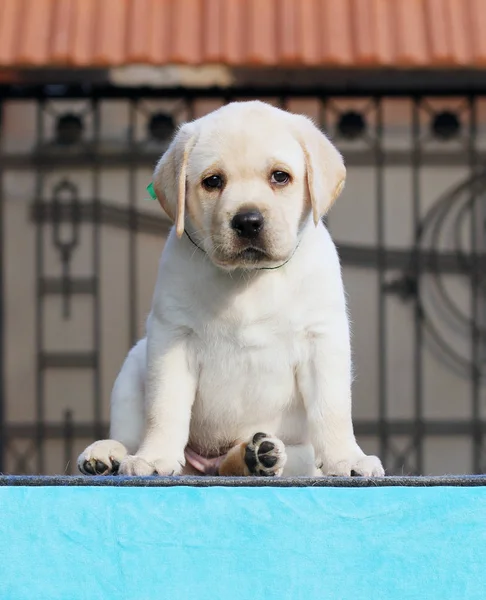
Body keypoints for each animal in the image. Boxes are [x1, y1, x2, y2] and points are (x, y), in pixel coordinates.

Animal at [78, 102, 386, 478]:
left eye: (280, 177)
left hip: (297, 453)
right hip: (134, 362)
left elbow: (333, 409)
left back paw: (258, 456)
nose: (248, 221)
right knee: (130, 432)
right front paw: (154, 457)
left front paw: (347, 458)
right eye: (213, 181)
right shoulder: (172, 338)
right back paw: (107, 453)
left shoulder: (321, 339)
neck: (248, 278)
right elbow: (164, 407)